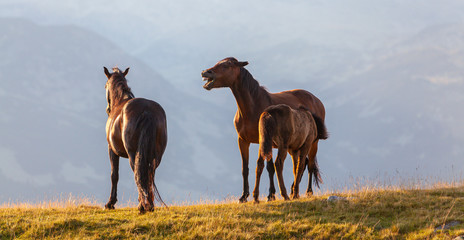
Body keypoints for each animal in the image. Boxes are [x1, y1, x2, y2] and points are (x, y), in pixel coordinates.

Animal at [103, 66, 167, 213]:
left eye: (105, 86)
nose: (108, 109)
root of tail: (147, 111)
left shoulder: (111, 150)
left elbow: (114, 175)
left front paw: (110, 203)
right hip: (156, 156)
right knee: (149, 174)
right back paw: (149, 204)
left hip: (133, 154)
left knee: (138, 173)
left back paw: (142, 205)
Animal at [202, 57, 326, 202]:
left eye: (226, 65)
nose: (205, 72)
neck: (252, 108)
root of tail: (317, 100)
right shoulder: (243, 141)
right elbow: (246, 168)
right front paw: (244, 196)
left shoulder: (265, 141)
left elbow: (268, 167)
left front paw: (270, 195)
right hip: (293, 146)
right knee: (301, 163)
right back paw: (292, 190)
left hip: (313, 143)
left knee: (310, 165)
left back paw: (307, 192)